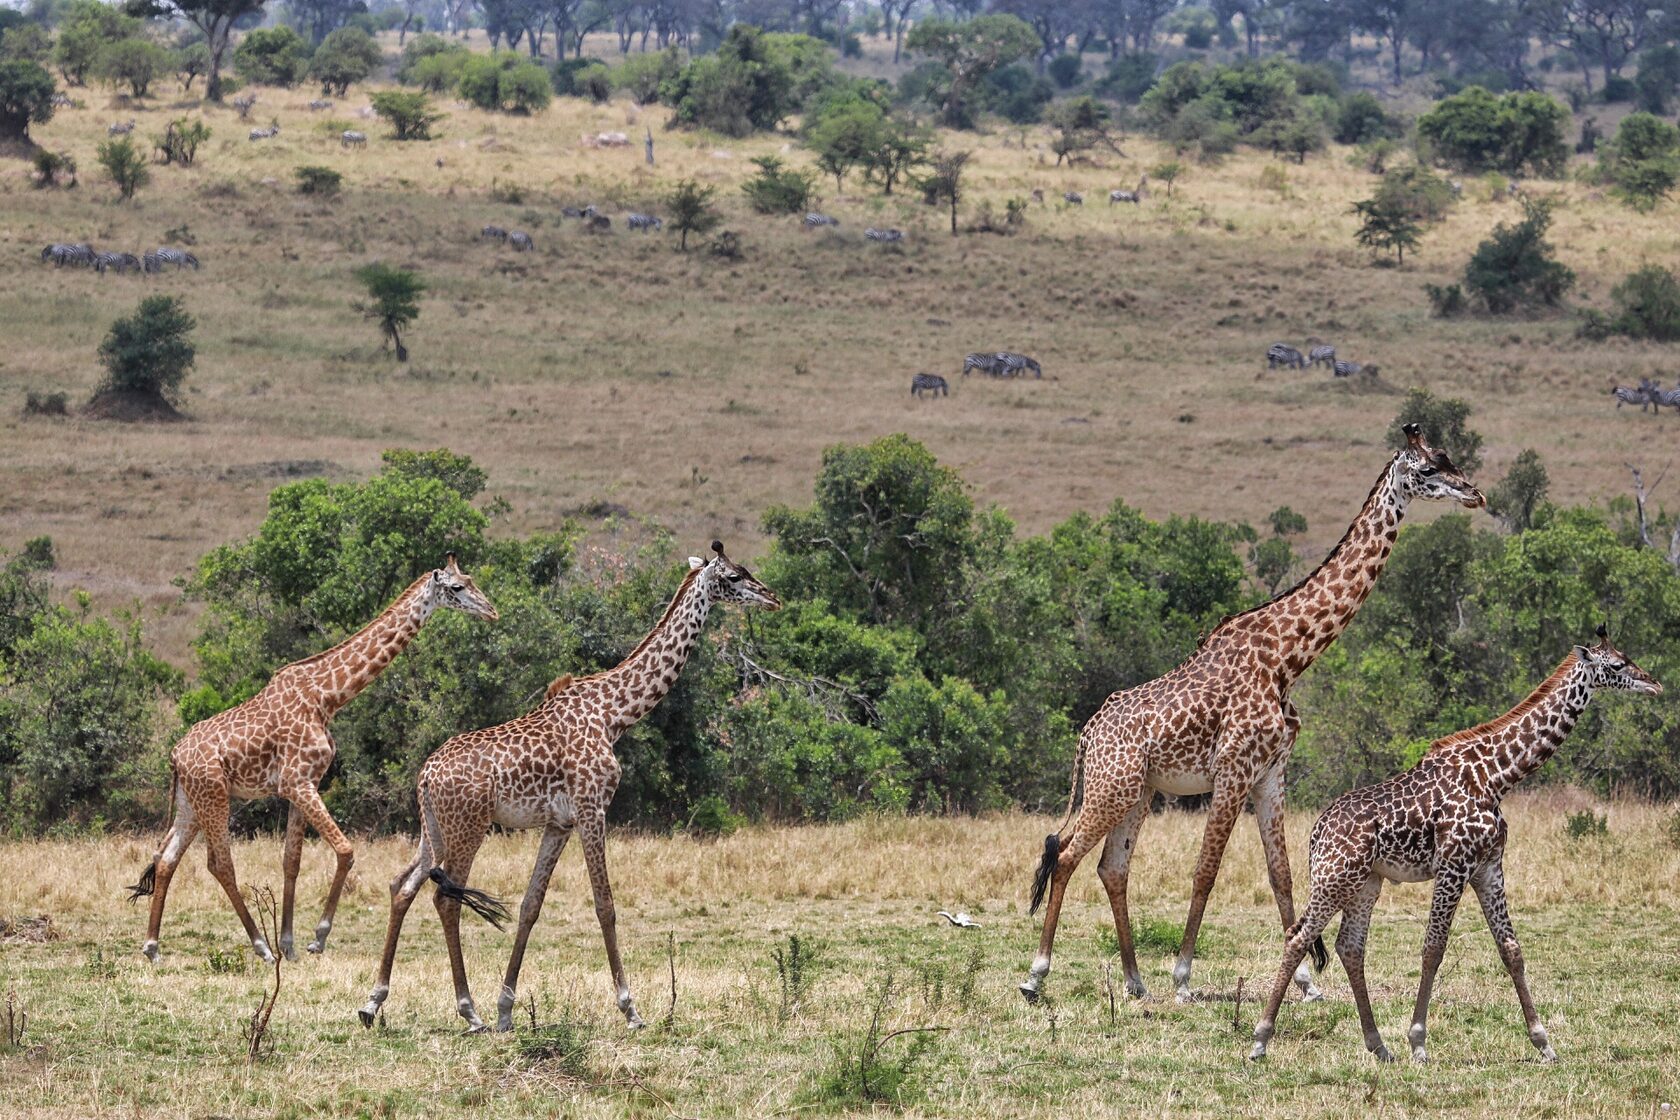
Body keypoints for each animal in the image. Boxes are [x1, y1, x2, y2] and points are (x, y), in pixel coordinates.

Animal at [128, 556, 499, 964]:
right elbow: (345, 850)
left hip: (190, 802)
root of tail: (174, 756)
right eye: (457, 587)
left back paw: (152, 947)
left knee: (166, 858)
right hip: (213, 797)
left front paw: (289, 943)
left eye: (471, 579)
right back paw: (259, 946)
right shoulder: (298, 781)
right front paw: (316, 938)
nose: (492, 611)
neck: (327, 696)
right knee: (219, 863)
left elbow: (292, 860)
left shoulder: (300, 784)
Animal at [356, 540, 780, 1033]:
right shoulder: (593, 808)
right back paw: (468, 1011)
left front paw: (507, 1009)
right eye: (733, 576)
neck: (614, 713)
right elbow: (605, 904)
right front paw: (630, 1008)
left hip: (433, 829)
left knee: (402, 886)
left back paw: (373, 1004)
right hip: (468, 828)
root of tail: (425, 775)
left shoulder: (558, 823)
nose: (772, 598)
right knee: (446, 898)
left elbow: (530, 906)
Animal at [1019, 424, 1485, 1005]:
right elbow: (1205, 871)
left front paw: (1307, 981)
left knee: (1112, 868)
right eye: (1427, 469)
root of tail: (1086, 736)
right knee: (1064, 855)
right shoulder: (1234, 769)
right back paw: (1037, 975)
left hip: (1139, 791)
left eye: (1450, 459)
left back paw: (1134, 981)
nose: (1475, 493)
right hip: (1112, 786)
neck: (1288, 659)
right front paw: (1183, 977)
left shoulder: (1271, 774)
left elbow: (1281, 874)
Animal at [1250, 629, 1661, 1064]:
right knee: (1298, 937)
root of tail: (1317, 832)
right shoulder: (1454, 864)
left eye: (1626, 657)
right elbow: (1433, 948)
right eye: (1616, 664)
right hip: (1335, 878)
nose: (1654, 683)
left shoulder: (1489, 866)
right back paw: (1261, 1039)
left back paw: (1378, 1045)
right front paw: (1418, 1042)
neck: (1497, 776)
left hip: (1366, 883)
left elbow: (1511, 948)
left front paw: (1544, 1042)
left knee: (1349, 947)